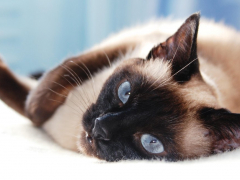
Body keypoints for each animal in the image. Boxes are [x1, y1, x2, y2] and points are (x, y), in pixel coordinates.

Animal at [0, 12, 240, 161]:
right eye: (125, 92)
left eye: (151, 142)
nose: (99, 128)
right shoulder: (123, 44)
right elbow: (60, 75)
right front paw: (36, 106)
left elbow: (23, 100)